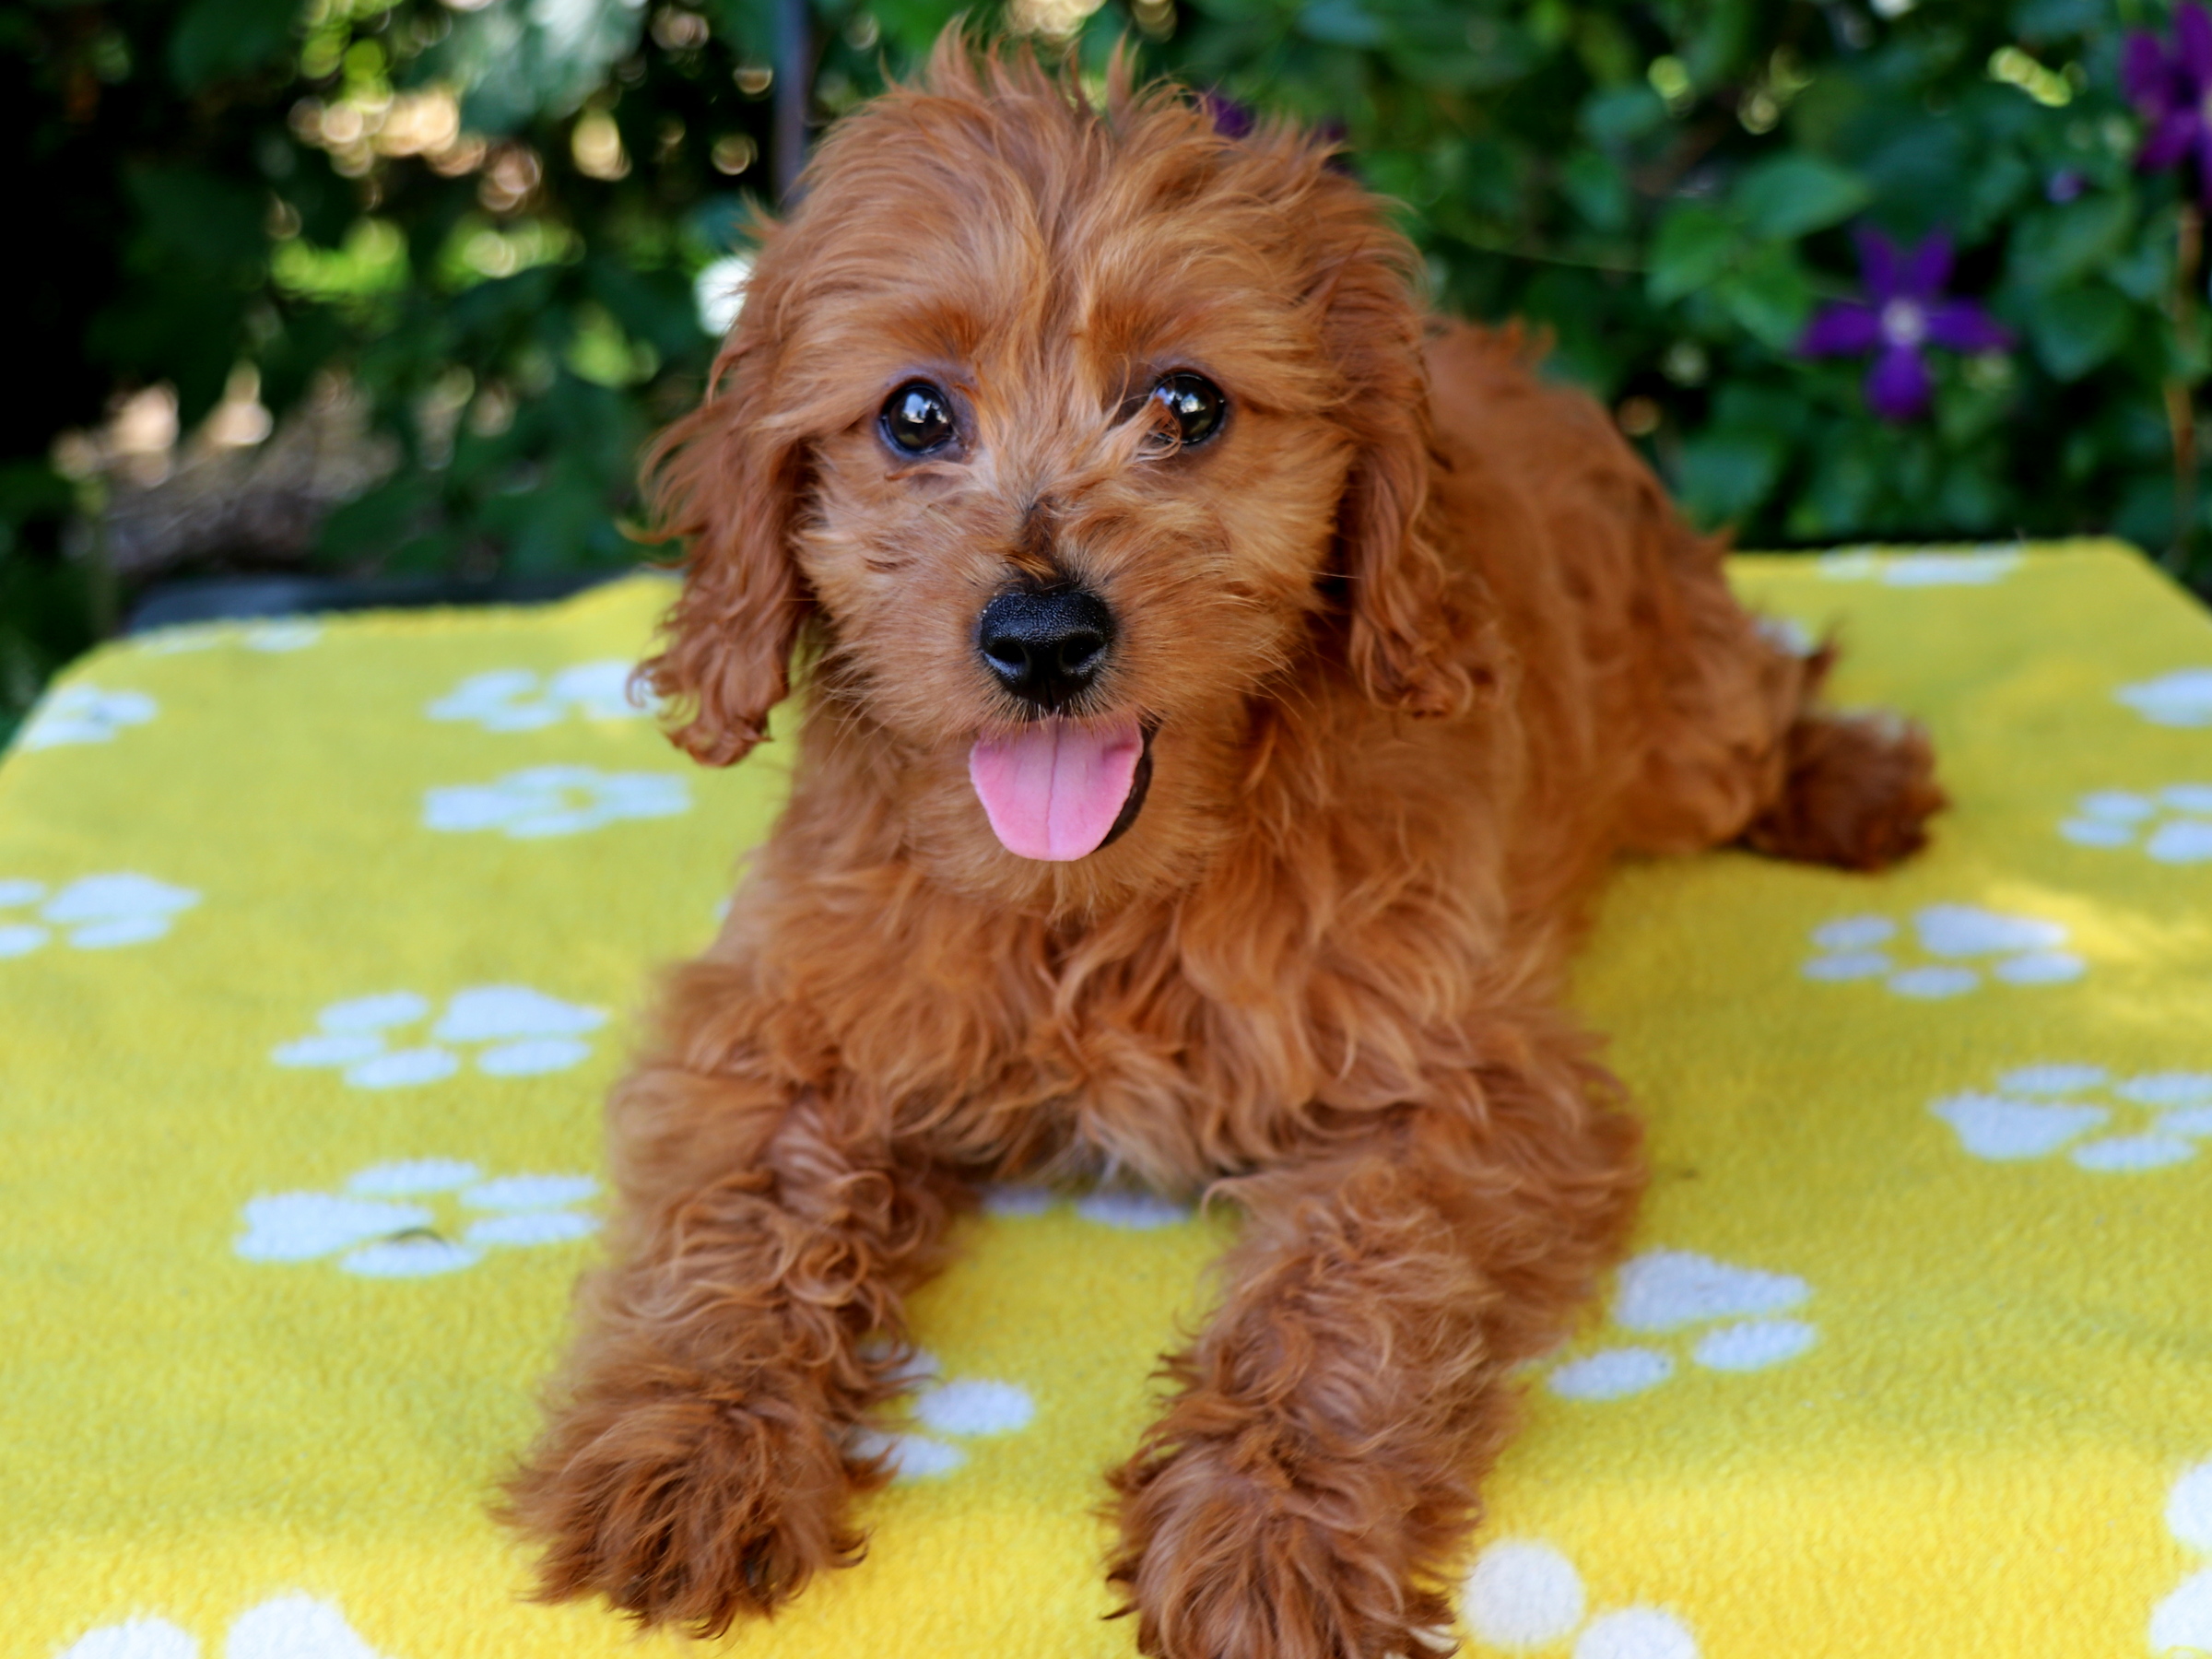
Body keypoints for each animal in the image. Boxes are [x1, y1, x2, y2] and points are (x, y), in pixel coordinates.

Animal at [502, 36, 1942, 1659]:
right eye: (916, 416)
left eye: (1186, 406)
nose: (1042, 637)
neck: (1093, 901)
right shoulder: (769, 1022)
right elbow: (738, 1222)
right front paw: (686, 1450)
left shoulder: (1471, 1087)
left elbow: (1349, 1291)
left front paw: (1273, 1538)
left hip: (1685, 717)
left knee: (1761, 692)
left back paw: (1857, 783)